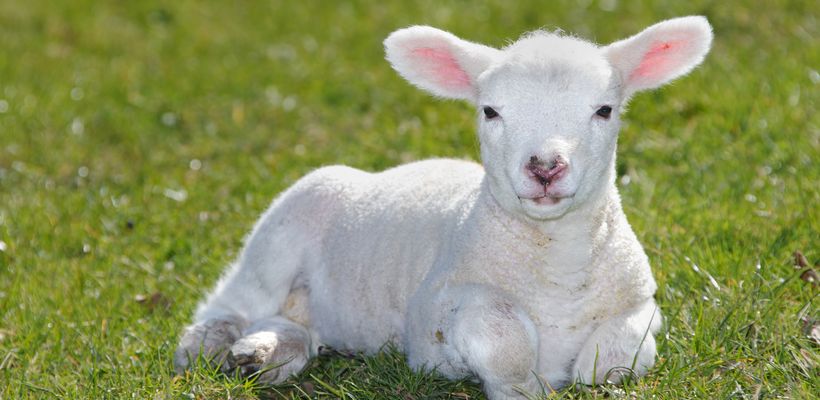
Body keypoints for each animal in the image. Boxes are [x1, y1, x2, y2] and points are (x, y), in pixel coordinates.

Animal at [174, 16, 713, 399]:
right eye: (490, 111)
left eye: (604, 110)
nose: (545, 166)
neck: (558, 268)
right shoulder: (431, 316)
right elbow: (501, 333)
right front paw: (525, 385)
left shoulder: (641, 302)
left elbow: (614, 357)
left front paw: (584, 368)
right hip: (282, 230)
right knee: (235, 299)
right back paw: (210, 342)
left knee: (300, 324)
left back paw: (264, 352)